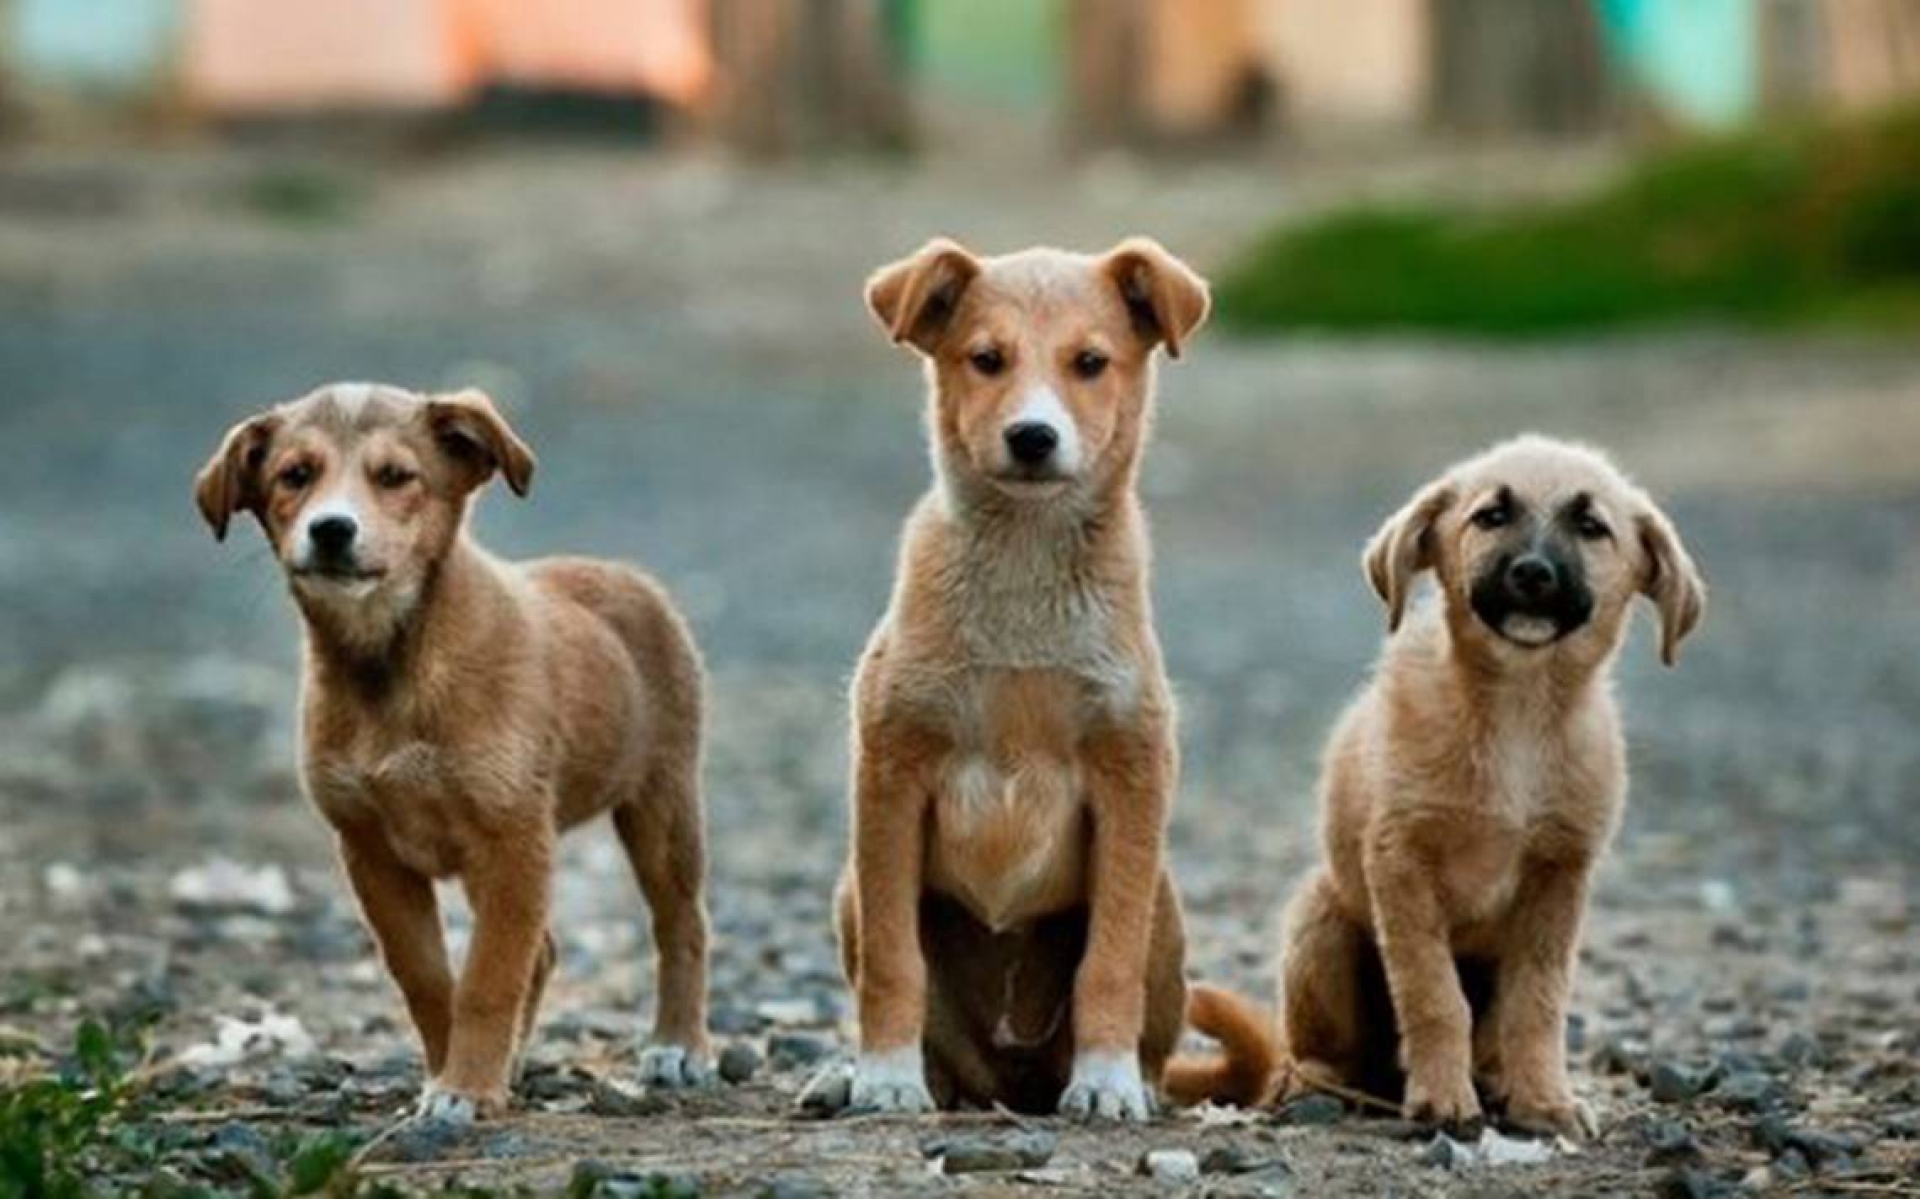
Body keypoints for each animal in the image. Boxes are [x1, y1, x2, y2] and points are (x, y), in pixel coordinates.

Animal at [192, 386, 714, 1122]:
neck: (391, 665)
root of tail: (625, 574)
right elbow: (430, 978)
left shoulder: (513, 839)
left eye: (395, 476)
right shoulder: (371, 850)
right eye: (295, 475)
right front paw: (453, 1073)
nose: (332, 530)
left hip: (662, 803)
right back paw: (516, 1061)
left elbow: (489, 977)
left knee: (681, 923)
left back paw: (678, 1045)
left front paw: (466, 1086)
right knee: (544, 950)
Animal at [829, 239, 1205, 1122]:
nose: (1033, 436)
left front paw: (1106, 1080)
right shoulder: (890, 773)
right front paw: (885, 1074)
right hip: (849, 890)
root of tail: (1010, 1083)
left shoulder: (1132, 776)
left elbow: (1108, 960)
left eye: (1091, 362)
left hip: (1166, 904)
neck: (1025, 570)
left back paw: (1131, 1077)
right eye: (986, 359)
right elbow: (895, 961)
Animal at [1167, 436, 1712, 1137]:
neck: (1517, 711)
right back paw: (1319, 1085)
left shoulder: (1559, 875)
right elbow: (1433, 995)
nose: (1532, 573)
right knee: (1315, 1051)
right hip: (1321, 920)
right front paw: (1443, 1099)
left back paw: (1496, 1082)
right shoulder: (1401, 861)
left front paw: (1544, 1101)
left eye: (1592, 527)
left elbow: (1538, 1003)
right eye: (1491, 516)